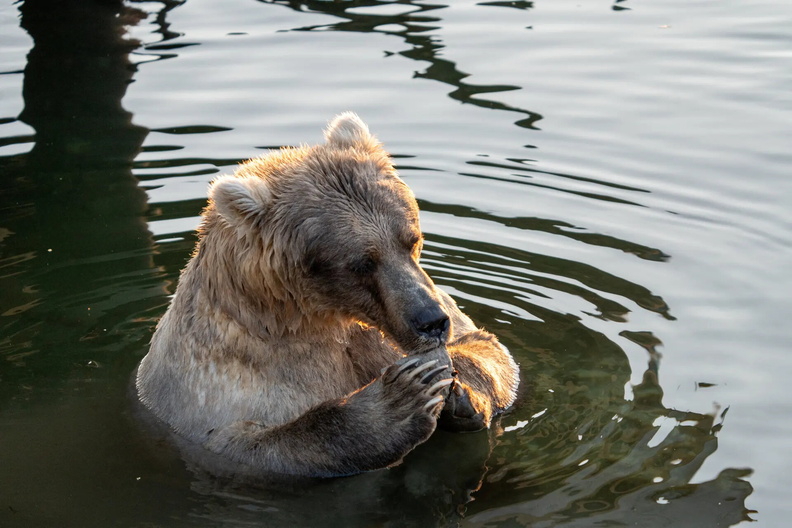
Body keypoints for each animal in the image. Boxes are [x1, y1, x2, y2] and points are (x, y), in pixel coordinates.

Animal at [135, 113, 519, 478]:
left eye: (411, 240)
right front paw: (402, 396)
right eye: (362, 262)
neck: (314, 317)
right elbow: (259, 445)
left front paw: (458, 393)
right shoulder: (218, 388)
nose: (431, 320)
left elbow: (487, 347)